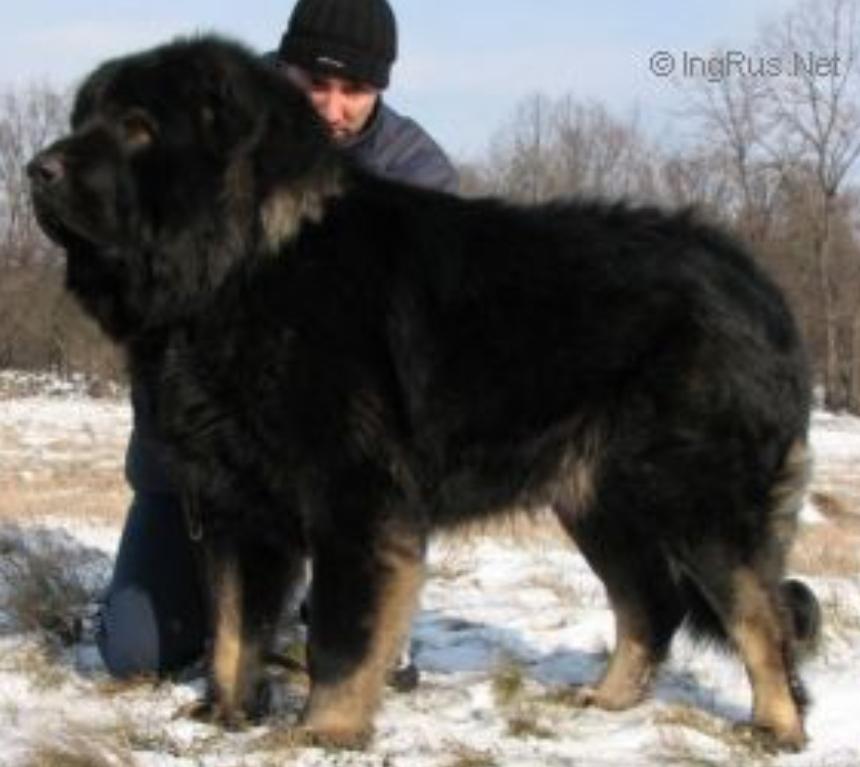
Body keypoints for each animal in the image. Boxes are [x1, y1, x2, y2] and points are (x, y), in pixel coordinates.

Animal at [28, 36, 820, 752]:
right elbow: (231, 624)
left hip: (698, 500)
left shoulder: (354, 499)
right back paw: (609, 699)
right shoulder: (232, 502)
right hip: (599, 500)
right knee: (652, 605)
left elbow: (339, 639)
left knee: (761, 616)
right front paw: (223, 714)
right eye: (84, 118)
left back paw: (776, 726)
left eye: (138, 126)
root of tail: (757, 283)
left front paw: (323, 731)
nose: (39, 168)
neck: (246, 263)